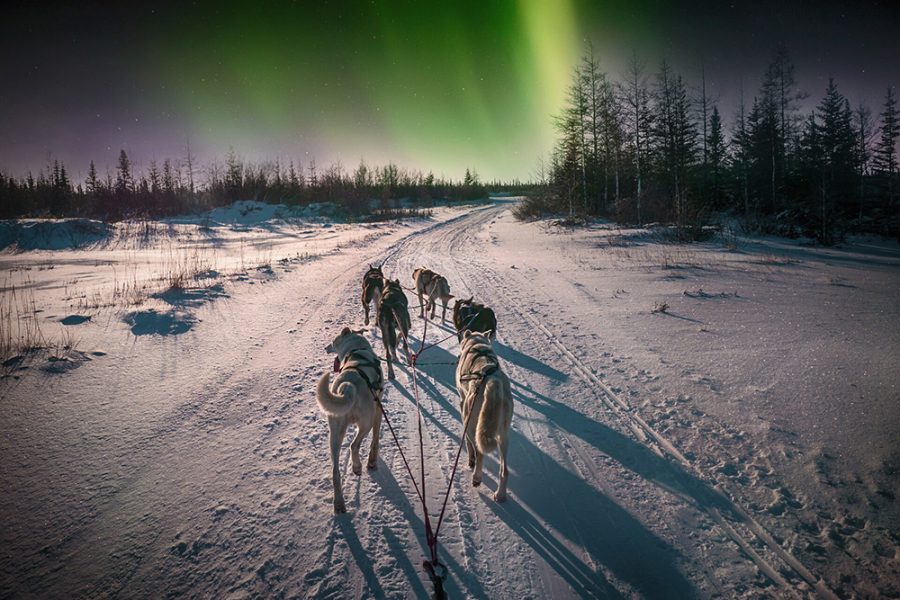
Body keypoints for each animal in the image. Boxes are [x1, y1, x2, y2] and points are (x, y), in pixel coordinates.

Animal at [316, 326, 384, 512]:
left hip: (334, 434)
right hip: (366, 423)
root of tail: (347, 386)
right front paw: (372, 462)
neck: (356, 351)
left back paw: (339, 504)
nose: (326, 347)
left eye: (333, 342)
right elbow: (375, 439)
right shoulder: (378, 411)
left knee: (335, 472)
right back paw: (357, 467)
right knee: (354, 445)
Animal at [458, 330, 512, 500]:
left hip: (470, 422)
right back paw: (500, 495)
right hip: (503, 436)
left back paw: (476, 477)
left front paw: (470, 460)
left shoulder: (462, 402)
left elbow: (469, 445)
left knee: (479, 452)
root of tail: (492, 381)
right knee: (504, 471)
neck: (478, 344)